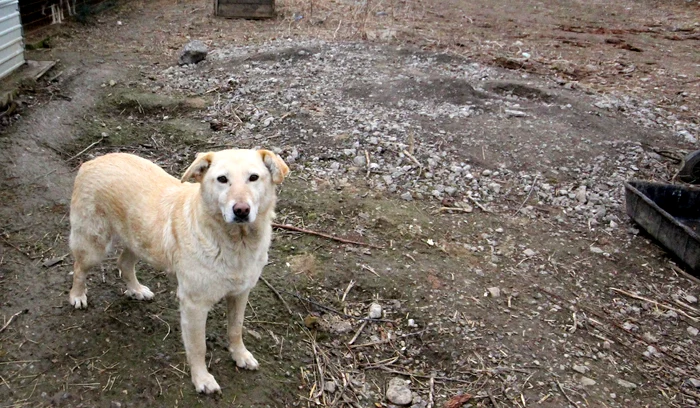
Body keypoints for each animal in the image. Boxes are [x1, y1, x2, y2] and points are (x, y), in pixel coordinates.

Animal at [67, 149, 290, 392]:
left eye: (254, 177)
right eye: (222, 179)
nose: (241, 210)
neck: (236, 243)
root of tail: (93, 161)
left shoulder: (240, 294)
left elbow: (236, 329)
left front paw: (240, 355)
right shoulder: (194, 305)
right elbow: (198, 346)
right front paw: (202, 379)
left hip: (139, 240)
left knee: (124, 262)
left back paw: (136, 290)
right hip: (93, 246)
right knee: (79, 268)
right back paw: (77, 295)